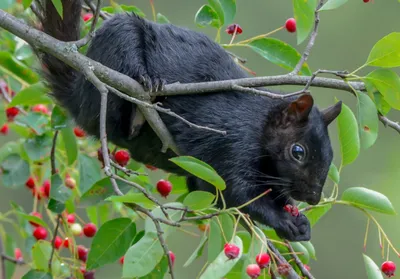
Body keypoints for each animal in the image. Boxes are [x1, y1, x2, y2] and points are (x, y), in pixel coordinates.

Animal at [39, 0, 342, 243]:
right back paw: (144, 92)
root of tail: (77, 94)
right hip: (117, 48)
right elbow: (235, 191)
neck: (260, 124)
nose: (313, 198)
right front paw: (283, 220)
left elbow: (211, 191)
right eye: (297, 151)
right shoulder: (231, 141)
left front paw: (299, 221)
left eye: (330, 155)